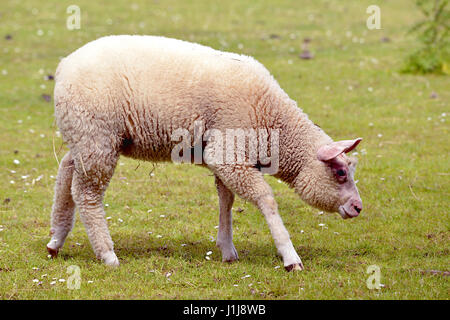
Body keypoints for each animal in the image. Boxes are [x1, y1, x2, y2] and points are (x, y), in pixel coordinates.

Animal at [46, 35, 362, 272]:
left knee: (66, 172)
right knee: (86, 195)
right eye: (340, 172)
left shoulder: (226, 158)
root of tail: (63, 66)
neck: (272, 120)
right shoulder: (228, 153)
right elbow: (266, 200)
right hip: (96, 137)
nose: (359, 207)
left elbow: (226, 201)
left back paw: (56, 239)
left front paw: (227, 249)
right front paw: (290, 256)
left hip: (84, 137)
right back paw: (107, 254)